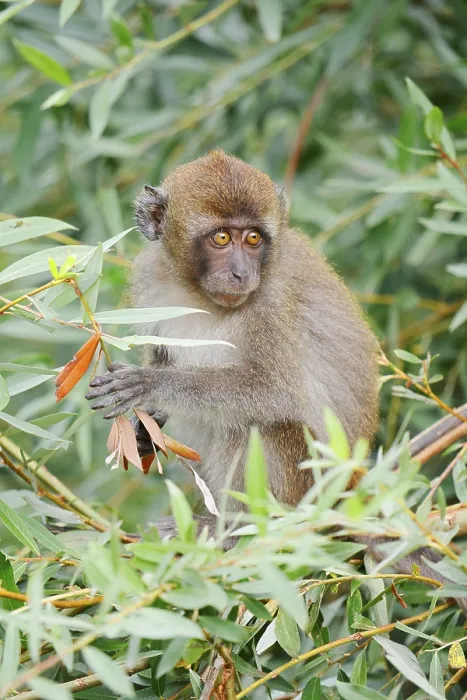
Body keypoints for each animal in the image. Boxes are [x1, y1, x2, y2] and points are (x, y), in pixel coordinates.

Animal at [86, 150, 466, 610]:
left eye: (253, 239)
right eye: (221, 238)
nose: (240, 274)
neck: (197, 294)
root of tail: (347, 494)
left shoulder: (271, 305)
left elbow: (274, 392)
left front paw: (149, 385)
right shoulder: (150, 280)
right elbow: (163, 353)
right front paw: (146, 431)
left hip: (308, 489)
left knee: (258, 427)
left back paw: (234, 533)